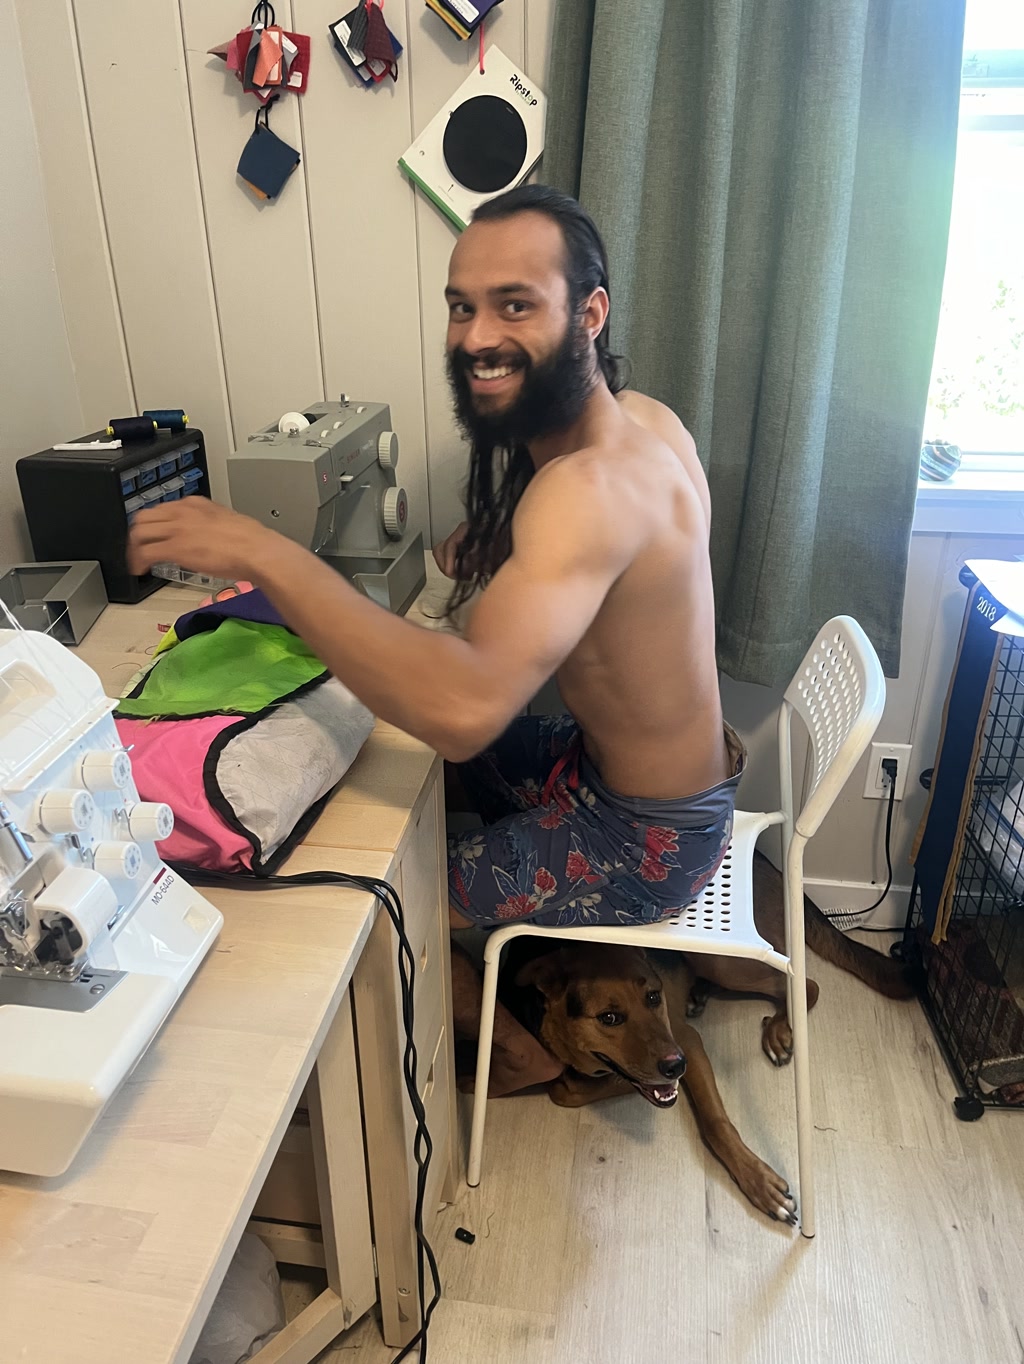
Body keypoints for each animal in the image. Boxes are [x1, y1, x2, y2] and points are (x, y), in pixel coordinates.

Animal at [490, 851, 910, 1227]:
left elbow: (714, 1122)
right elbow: (568, 1088)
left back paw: (778, 1029)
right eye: (608, 1018)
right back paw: (699, 995)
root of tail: (768, 861)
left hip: (721, 958)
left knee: (804, 984)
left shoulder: (687, 1042)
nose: (676, 1066)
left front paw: (758, 1181)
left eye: (653, 997)